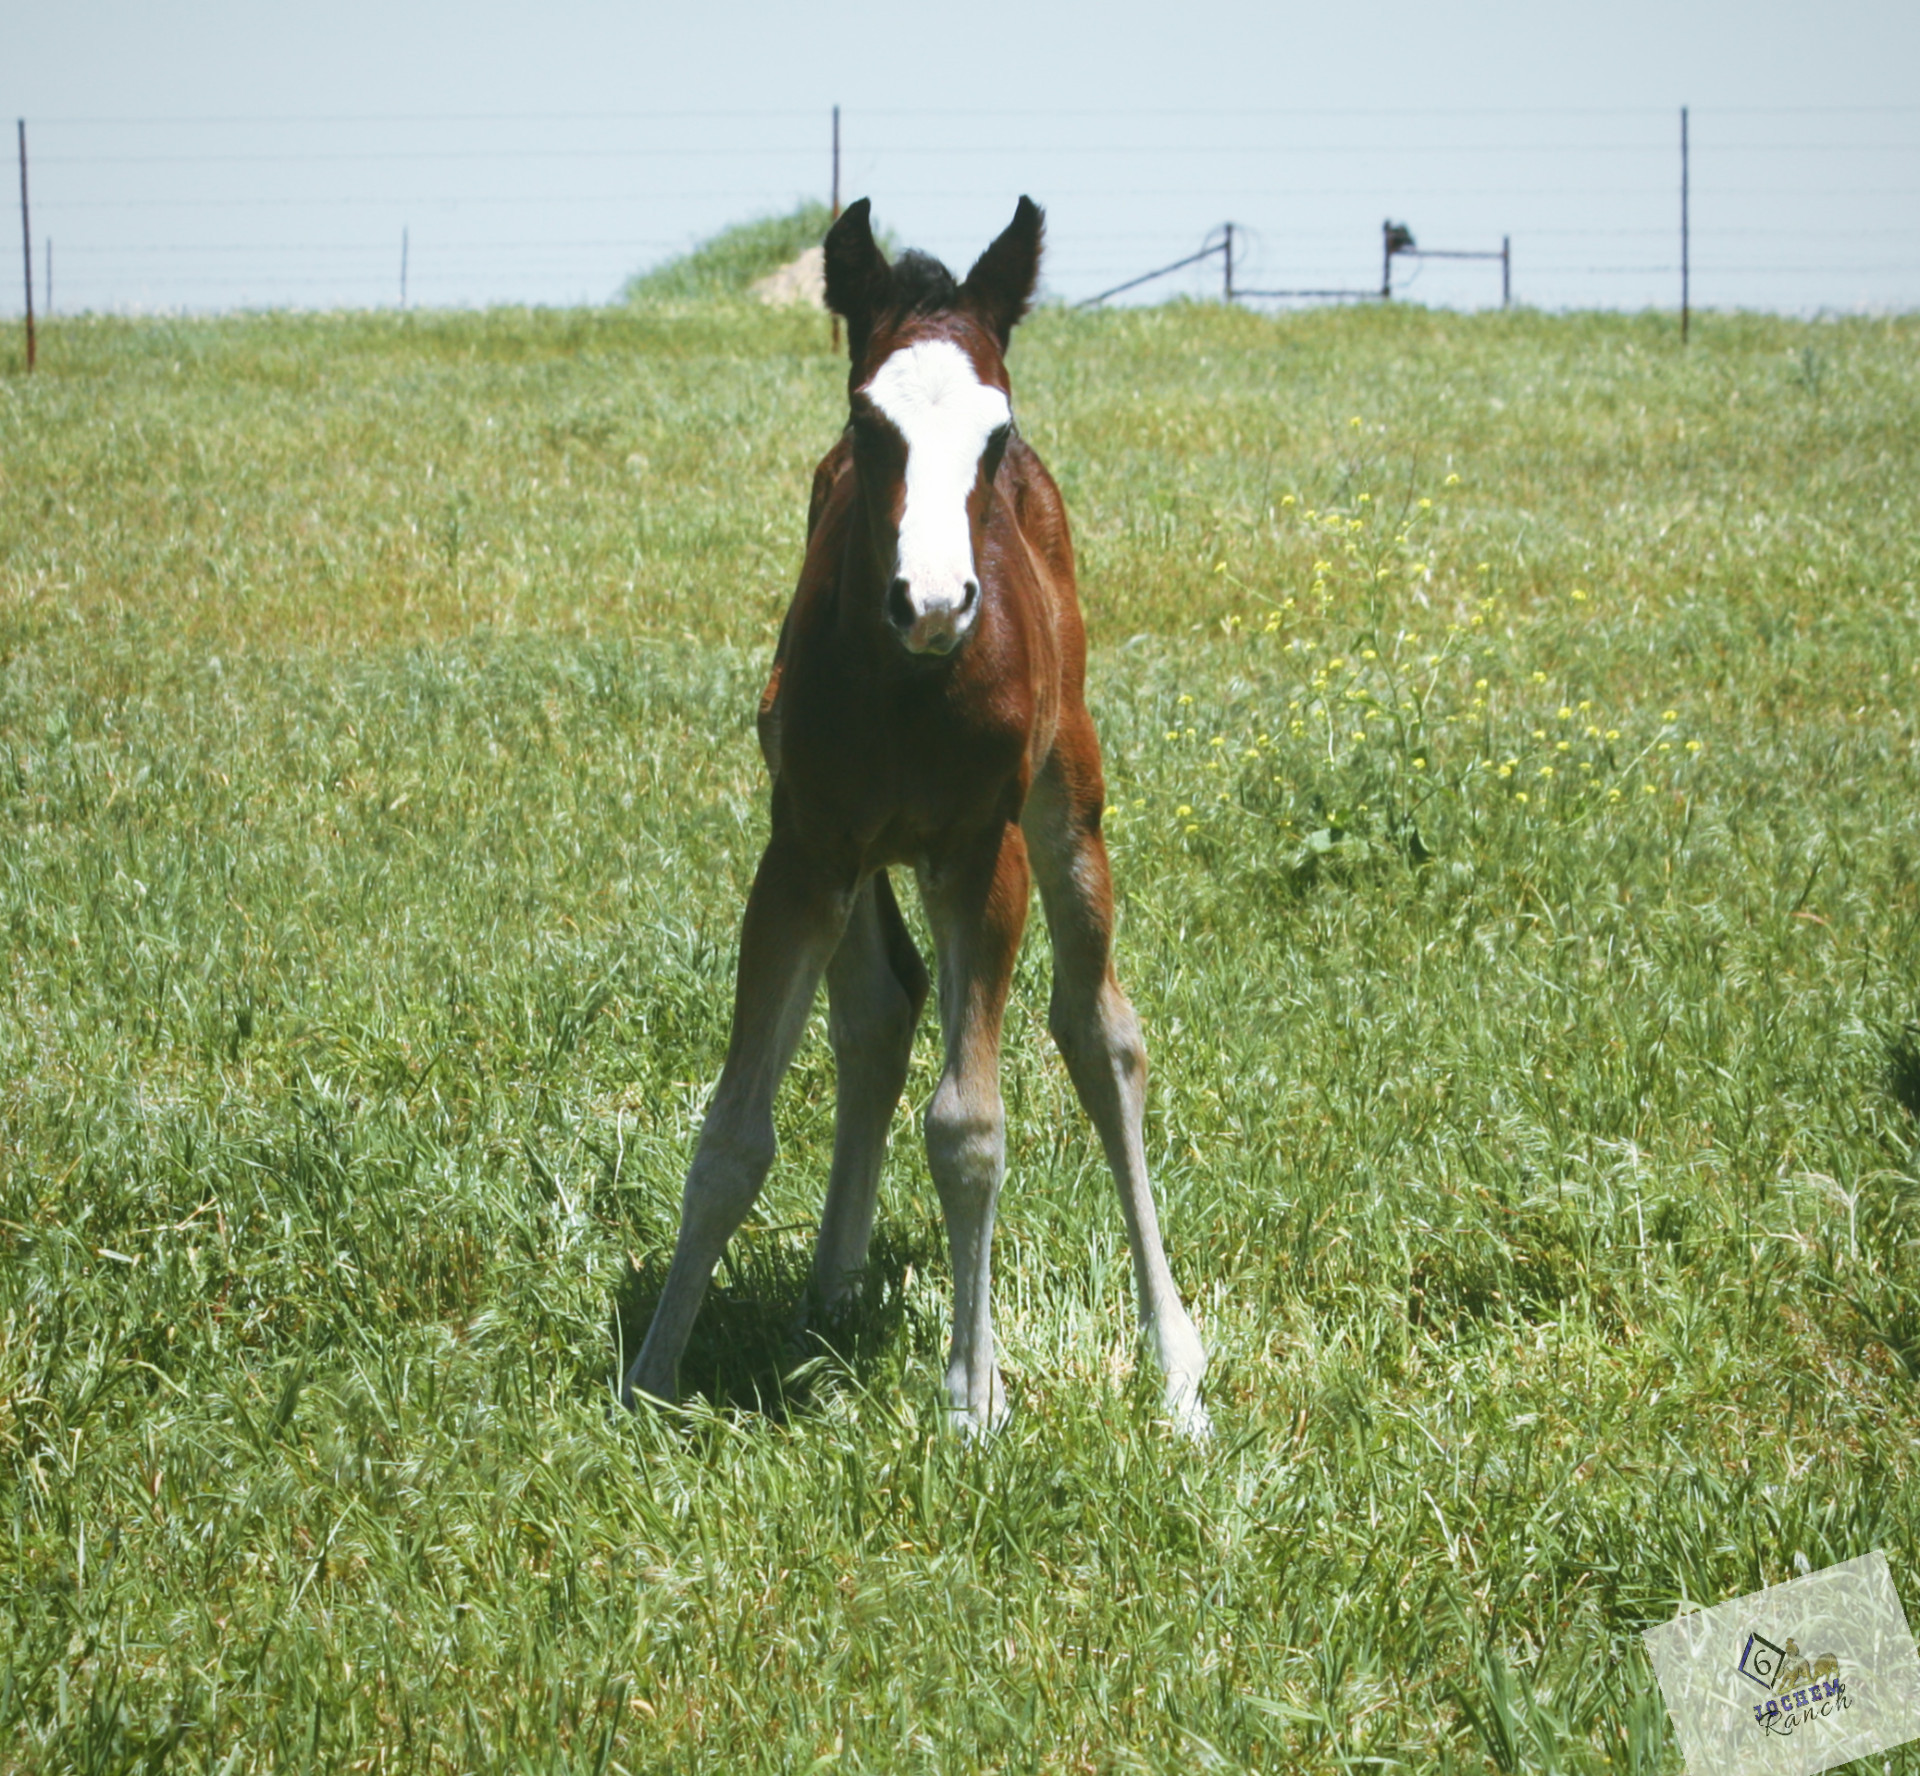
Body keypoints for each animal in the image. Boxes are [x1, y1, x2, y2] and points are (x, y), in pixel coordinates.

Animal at [621, 196, 1210, 1438]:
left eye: (994, 431)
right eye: (867, 420)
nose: (933, 602)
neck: (904, 686)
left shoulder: (977, 856)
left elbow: (970, 1126)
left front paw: (971, 1397)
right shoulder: (802, 850)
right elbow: (733, 1129)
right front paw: (651, 1375)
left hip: (1066, 806)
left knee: (1101, 1033)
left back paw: (1174, 1360)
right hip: (853, 858)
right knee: (881, 1008)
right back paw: (828, 1292)